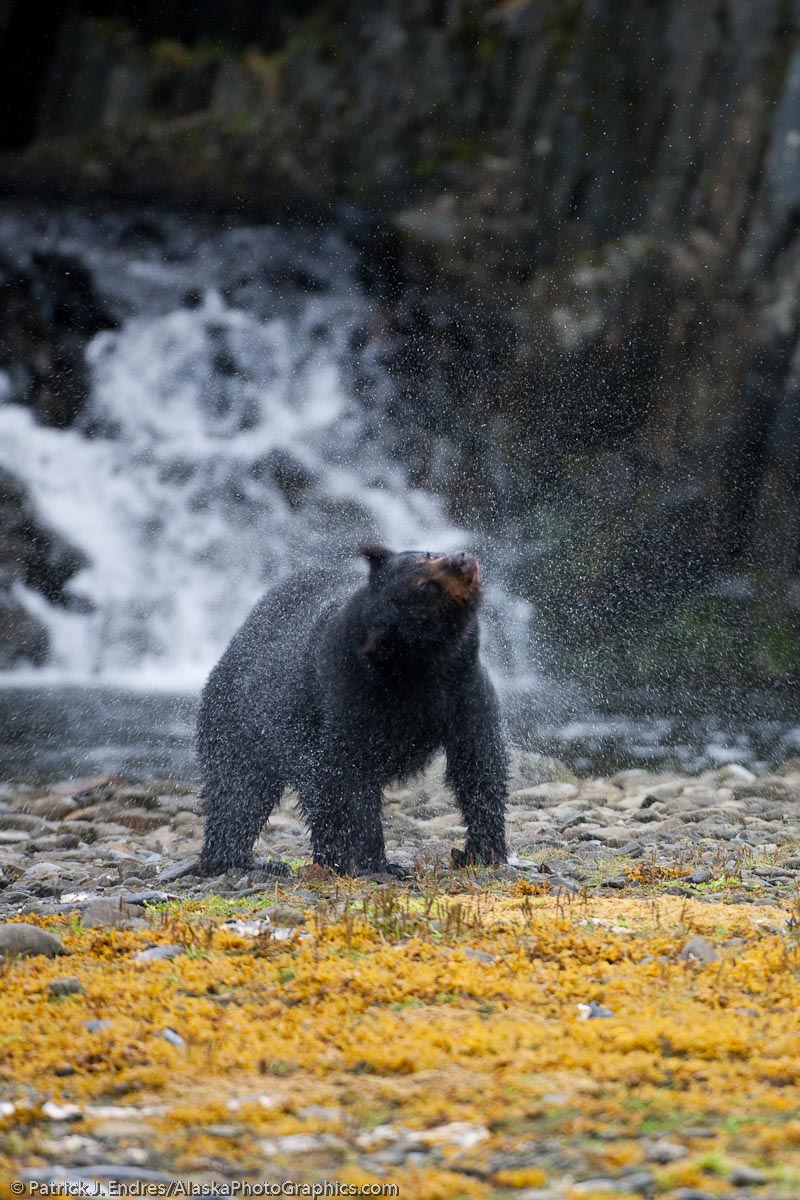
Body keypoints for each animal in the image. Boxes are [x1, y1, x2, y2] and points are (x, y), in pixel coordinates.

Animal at [196, 549, 506, 878]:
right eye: (424, 587)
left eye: (428, 553)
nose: (461, 559)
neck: (414, 667)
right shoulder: (350, 699)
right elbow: (351, 782)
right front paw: (380, 863)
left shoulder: (462, 689)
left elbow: (479, 762)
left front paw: (483, 850)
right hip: (240, 726)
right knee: (240, 793)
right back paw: (246, 860)